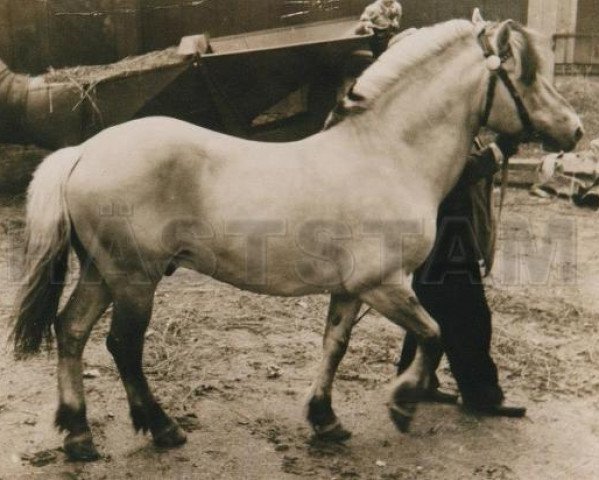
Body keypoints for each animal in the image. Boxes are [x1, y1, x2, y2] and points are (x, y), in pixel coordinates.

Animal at [12, 14, 580, 462]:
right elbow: (434, 333)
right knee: (122, 347)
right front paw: (401, 402)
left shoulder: (351, 290)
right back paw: (162, 427)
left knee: (72, 331)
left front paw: (325, 419)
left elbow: (334, 346)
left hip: (102, 272)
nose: (575, 131)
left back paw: (79, 435)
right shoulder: (384, 285)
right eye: (527, 75)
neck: (388, 155)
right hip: (134, 279)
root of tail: (83, 151)